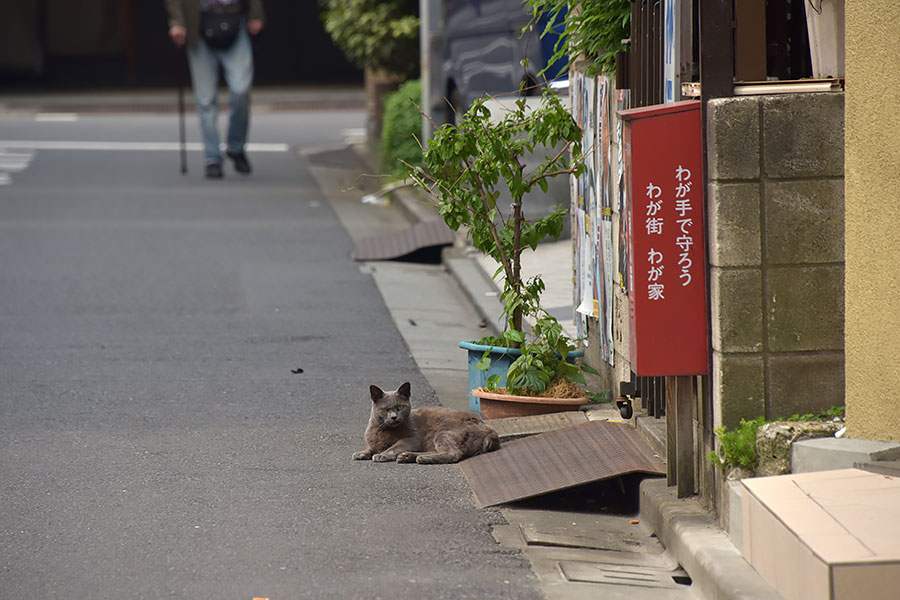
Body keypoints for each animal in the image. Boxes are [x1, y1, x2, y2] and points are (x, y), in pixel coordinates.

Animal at [354, 382, 500, 466]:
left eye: (400, 407)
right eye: (385, 409)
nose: (394, 417)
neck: (383, 430)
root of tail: (492, 432)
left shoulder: (412, 439)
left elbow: (395, 445)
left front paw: (382, 454)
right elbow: (371, 448)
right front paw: (361, 453)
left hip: (443, 432)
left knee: (454, 454)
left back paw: (421, 458)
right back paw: (408, 456)